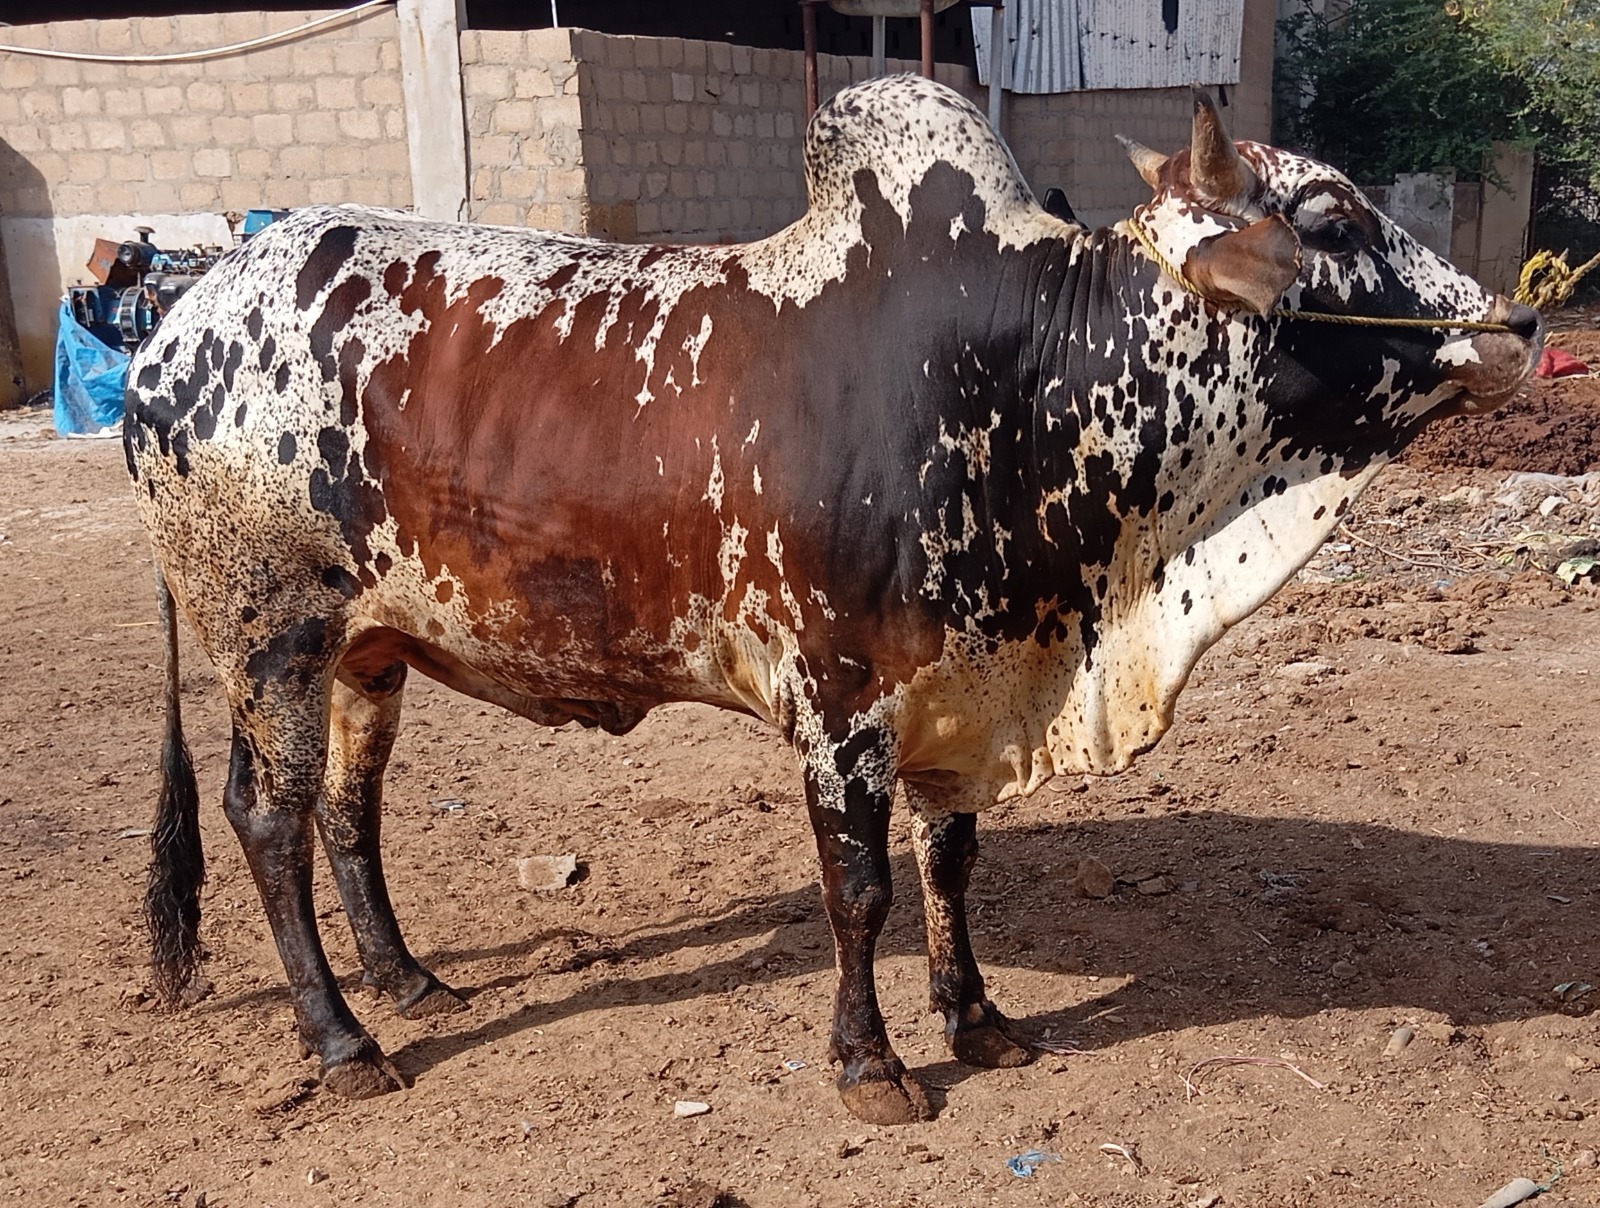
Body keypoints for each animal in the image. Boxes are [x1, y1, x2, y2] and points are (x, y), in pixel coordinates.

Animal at [124, 75, 1541, 1125]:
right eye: (1333, 219)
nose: (1519, 324)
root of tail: (172, 316)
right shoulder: (839, 701)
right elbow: (858, 890)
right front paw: (873, 1064)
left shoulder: (958, 691)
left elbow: (950, 863)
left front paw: (977, 1017)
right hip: (271, 635)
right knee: (270, 819)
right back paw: (343, 1037)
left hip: (370, 648)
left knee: (350, 813)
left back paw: (410, 981)